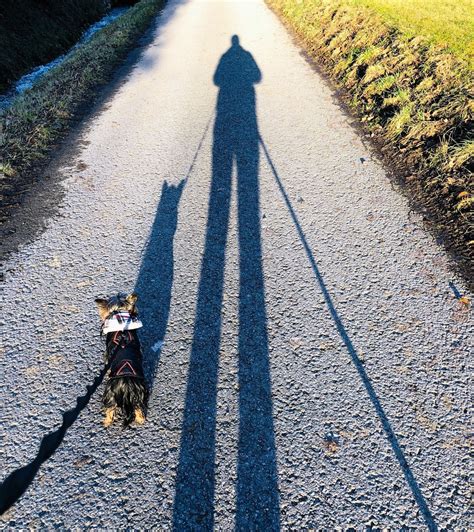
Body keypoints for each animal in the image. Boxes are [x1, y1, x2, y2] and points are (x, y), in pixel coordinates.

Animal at [94, 294, 148, 426]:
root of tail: (126, 384)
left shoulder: (108, 355)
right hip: (139, 394)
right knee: (138, 407)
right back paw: (140, 420)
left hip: (110, 394)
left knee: (110, 409)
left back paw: (106, 422)